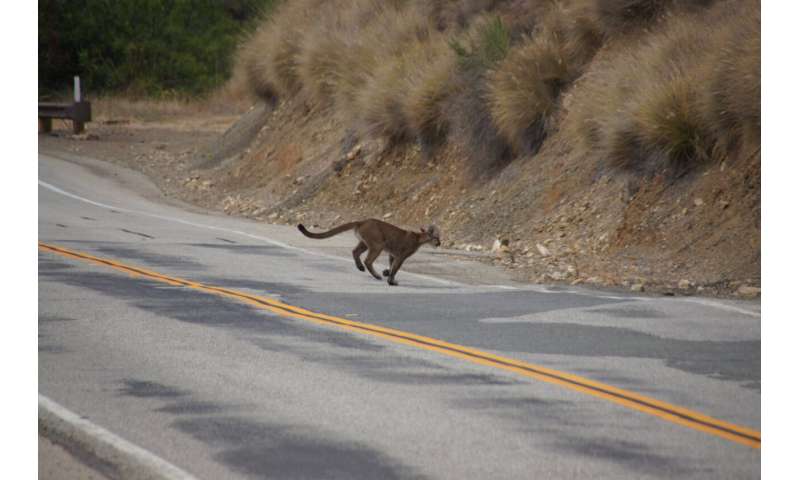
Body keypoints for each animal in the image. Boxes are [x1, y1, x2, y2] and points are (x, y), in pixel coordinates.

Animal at [296, 220, 440, 284]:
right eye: (437, 238)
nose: (439, 243)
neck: (418, 238)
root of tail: (362, 220)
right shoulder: (401, 256)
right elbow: (395, 268)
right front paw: (391, 281)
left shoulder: (392, 254)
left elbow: (391, 265)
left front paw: (386, 273)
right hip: (378, 245)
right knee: (368, 260)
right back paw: (375, 275)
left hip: (365, 243)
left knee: (355, 251)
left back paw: (360, 267)